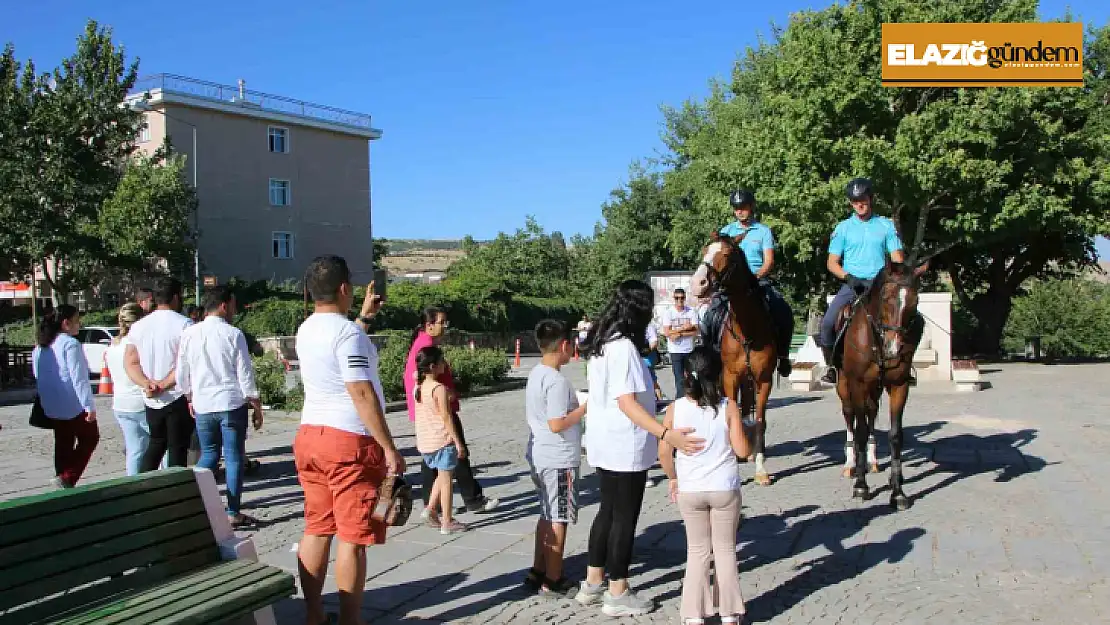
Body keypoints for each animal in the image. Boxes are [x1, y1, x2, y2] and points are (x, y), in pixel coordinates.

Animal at [688, 232, 777, 486]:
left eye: (727, 254)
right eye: (705, 250)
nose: (697, 283)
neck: (747, 330)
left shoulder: (764, 380)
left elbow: (759, 421)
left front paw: (761, 470)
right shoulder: (730, 377)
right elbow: (733, 412)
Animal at [834, 261, 923, 510]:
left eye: (915, 300)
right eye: (886, 297)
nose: (894, 347)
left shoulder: (899, 386)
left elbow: (895, 435)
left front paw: (898, 491)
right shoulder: (858, 385)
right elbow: (861, 432)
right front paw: (861, 486)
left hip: (875, 390)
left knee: (872, 413)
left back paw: (874, 463)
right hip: (845, 387)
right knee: (850, 418)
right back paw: (851, 465)